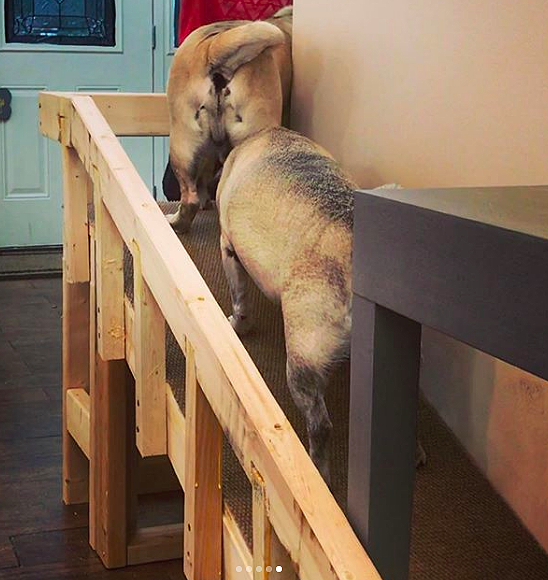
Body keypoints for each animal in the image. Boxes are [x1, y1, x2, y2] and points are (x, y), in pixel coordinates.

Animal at [216, 128, 354, 484]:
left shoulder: (228, 248)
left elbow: (240, 298)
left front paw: (237, 324)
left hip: (303, 357)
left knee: (320, 425)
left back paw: (320, 471)